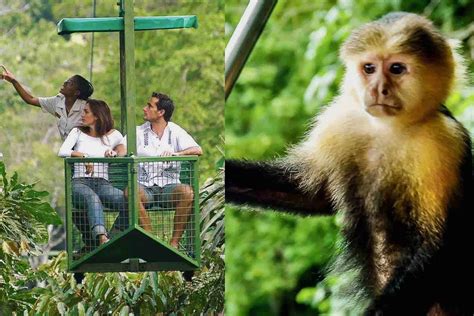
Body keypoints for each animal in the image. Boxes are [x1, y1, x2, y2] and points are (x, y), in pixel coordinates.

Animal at [228, 12, 472, 316]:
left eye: (397, 68)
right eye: (369, 68)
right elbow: (310, 193)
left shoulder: (444, 142)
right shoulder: (340, 118)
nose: (378, 89)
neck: (388, 129)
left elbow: (440, 241)